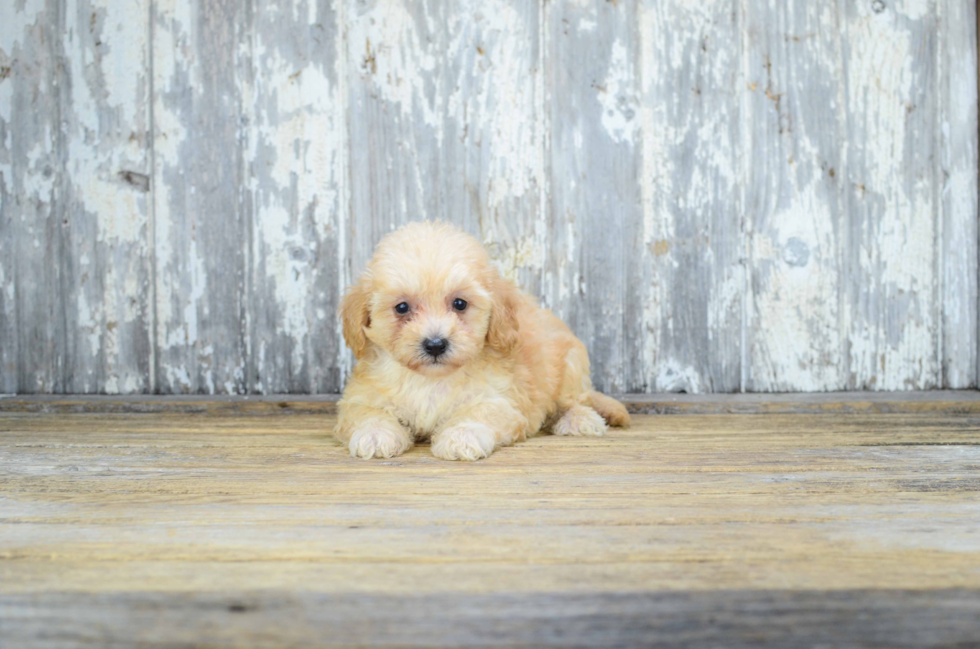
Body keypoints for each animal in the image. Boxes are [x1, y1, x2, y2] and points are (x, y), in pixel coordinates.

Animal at [334, 223, 628, 460]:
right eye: (402, 307)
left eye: (460, 304)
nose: (435, 344)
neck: (431, 380)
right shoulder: (360, 398)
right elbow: (367, 413)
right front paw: (375, 435)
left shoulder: (499, 399)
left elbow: (478, 414)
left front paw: (461, 437)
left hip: (569, 367)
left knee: (574, 400)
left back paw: (578, 419)